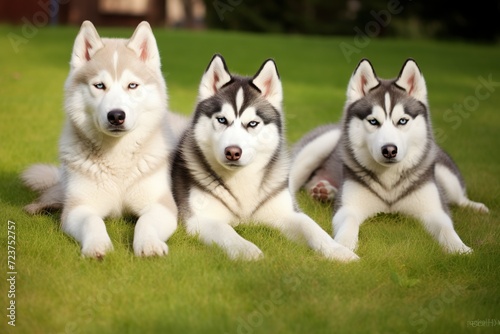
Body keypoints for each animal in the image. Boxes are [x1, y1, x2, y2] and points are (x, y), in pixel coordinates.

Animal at [22, 21, 186, 258]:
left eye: (132, 85)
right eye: (99, 85)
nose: (116, 115)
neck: (117, 157)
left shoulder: (161, 205)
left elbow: (145, 222)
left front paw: (149, 244)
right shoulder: (79, 206)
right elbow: (92, 221)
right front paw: (97, 245)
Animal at [172, 54, 360, 262]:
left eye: (252, 124)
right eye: (222, 120)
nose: (233, 152)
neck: (241, 180)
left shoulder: (288, 213)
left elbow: (313, 228)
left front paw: (338, 251)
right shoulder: (199, 218)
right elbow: (227, 232)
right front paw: (248, 251)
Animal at [290, 58, 488, 254]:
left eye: (402, 121)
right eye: (373, 121)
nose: (390, 150)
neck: (389, 183)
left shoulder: (434, 210)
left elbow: (447, 229)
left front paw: (461, 249)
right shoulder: (348, 207)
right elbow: (348, 224)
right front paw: (343, 246)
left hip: (446, 174)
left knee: (459, 199)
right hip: (319, 146)